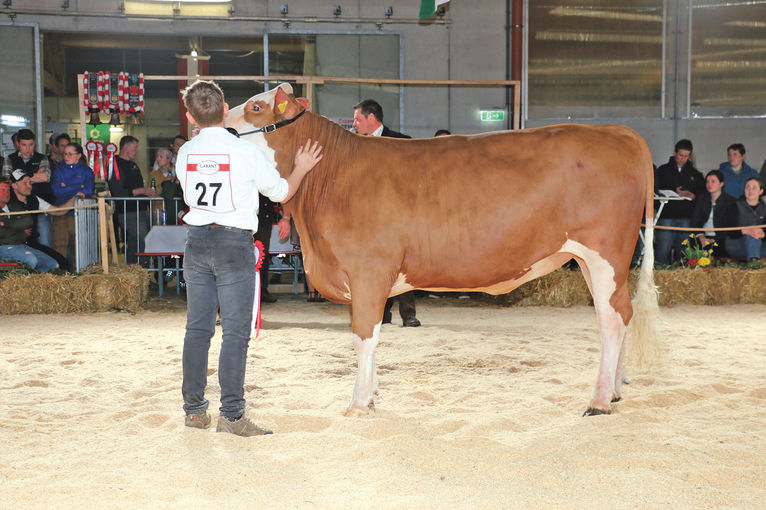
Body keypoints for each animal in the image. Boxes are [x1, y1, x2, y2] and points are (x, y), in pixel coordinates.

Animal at [226, 83, 660, 416]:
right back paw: (615, 390)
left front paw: (358, 403)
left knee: (613, 318)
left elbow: (364, 335)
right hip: (589, 259)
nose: (218, 125)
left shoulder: (368, 271)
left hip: (605, 253)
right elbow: (367, 336)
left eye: (256, 106)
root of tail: (616, 132)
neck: (331, 175)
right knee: (616, 314)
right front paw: (372, 395)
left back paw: (599, 401)